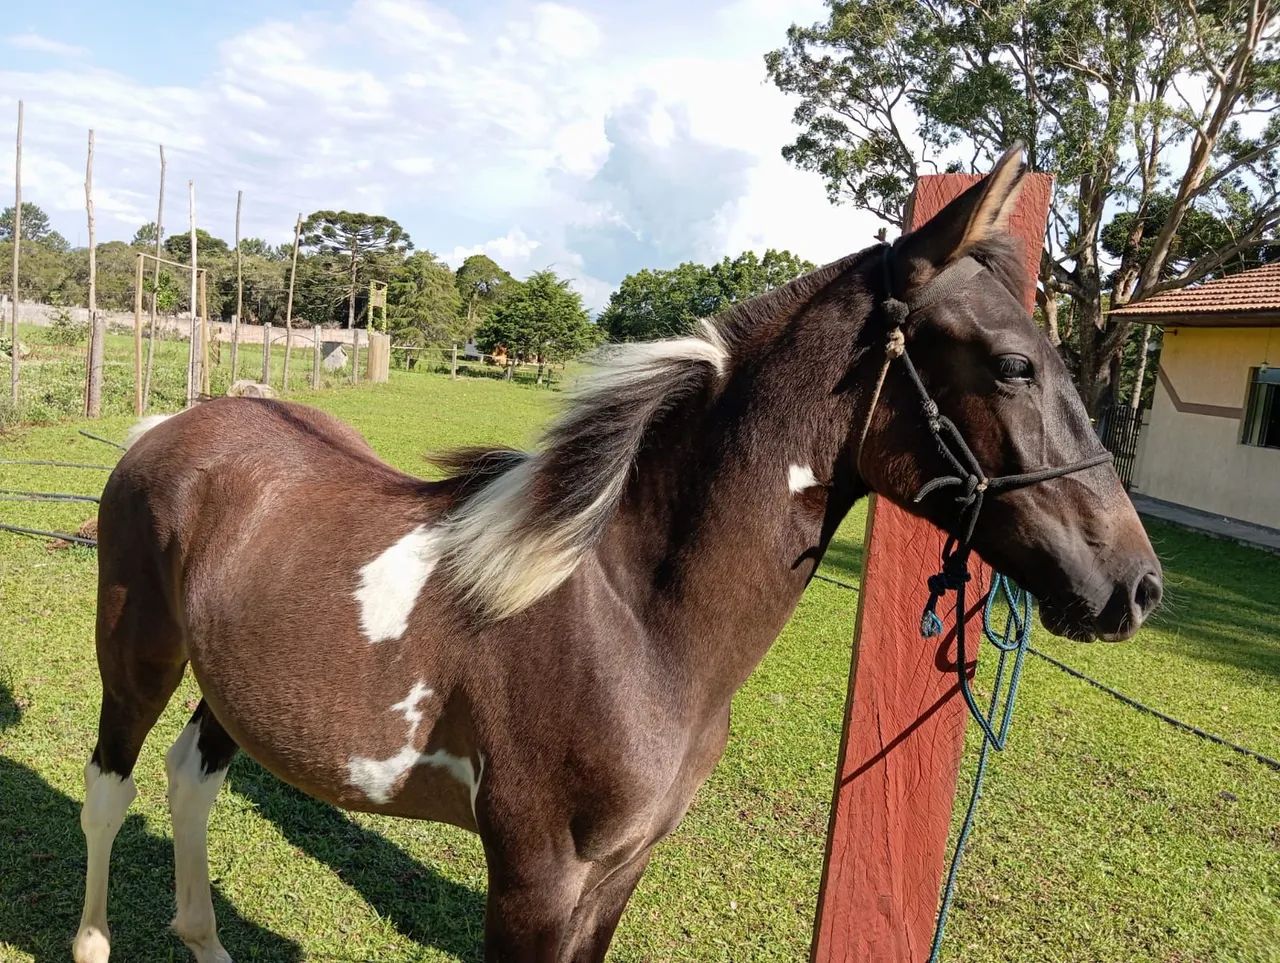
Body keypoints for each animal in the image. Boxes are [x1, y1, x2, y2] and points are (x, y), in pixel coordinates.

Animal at [72, 147, 1162, 963]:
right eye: (1013, 365)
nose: (1132, 585)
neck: (625, 619)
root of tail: (171, 425)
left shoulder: (615, 874)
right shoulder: (534, 880)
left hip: (231, 689)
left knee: (190, 781)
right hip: (137, 660)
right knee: (110, 790)